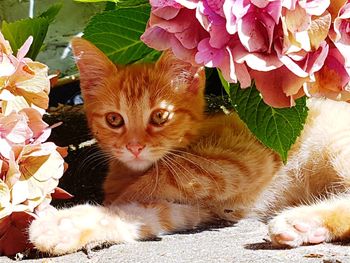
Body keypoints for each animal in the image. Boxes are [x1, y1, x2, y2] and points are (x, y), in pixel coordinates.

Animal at [28, 37, 350, 256]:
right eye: (114, 119)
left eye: (160, 116)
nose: (134, 146)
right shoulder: (189, 210)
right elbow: (134, 215)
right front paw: (64, 226)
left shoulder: (240, 161)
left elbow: (147, 187)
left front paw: (112, 202)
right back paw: (305, 226)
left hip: (337, 148)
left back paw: (298, 221)